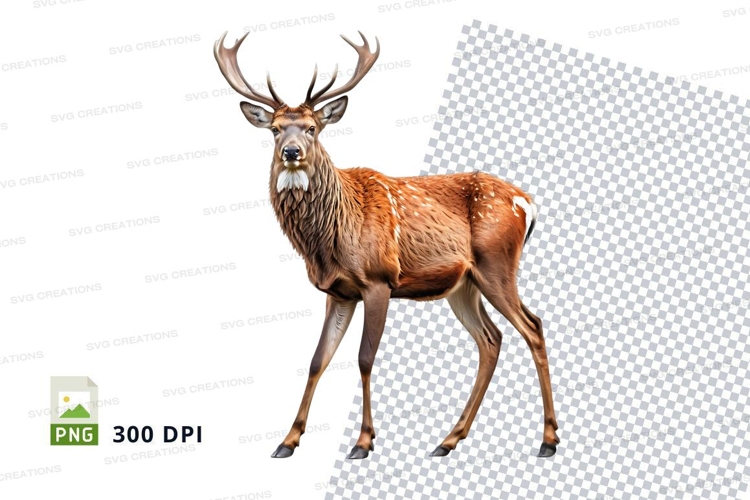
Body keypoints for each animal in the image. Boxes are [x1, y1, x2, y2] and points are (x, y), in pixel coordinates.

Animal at [213, 30, 560, 460]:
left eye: (312, 128)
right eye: (275, 129)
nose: (291, 152)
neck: (330, 238)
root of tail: (529, 202)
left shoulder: (378, 280)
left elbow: (365, 358)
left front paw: (363, 441)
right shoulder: (338, 291)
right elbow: (317, 359)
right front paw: (288, 440)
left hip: (496, 264)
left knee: (533, 326)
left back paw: (548, 440)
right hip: (464, 284)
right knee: (490, 339)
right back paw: (448, 440)